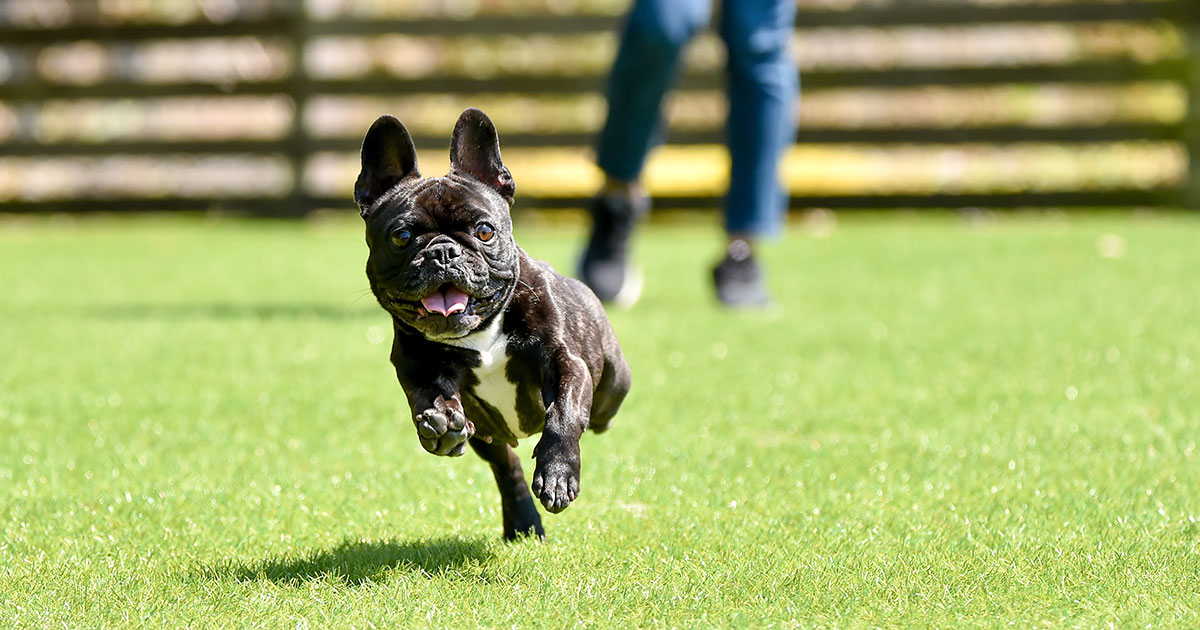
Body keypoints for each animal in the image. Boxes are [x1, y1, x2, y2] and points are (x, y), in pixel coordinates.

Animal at [350, 105, 633, 537]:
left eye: (484, 231)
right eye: (401, 237)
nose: (444, 252)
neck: (481, 332)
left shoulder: (565, 362)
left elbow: (564, 413)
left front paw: (558, 474)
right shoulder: (416, 367)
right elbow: (429, 396)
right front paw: (442, 423)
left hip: (614, 381)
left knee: (598, 410)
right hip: (491, 438)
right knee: (506, 466)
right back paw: (522, 519)